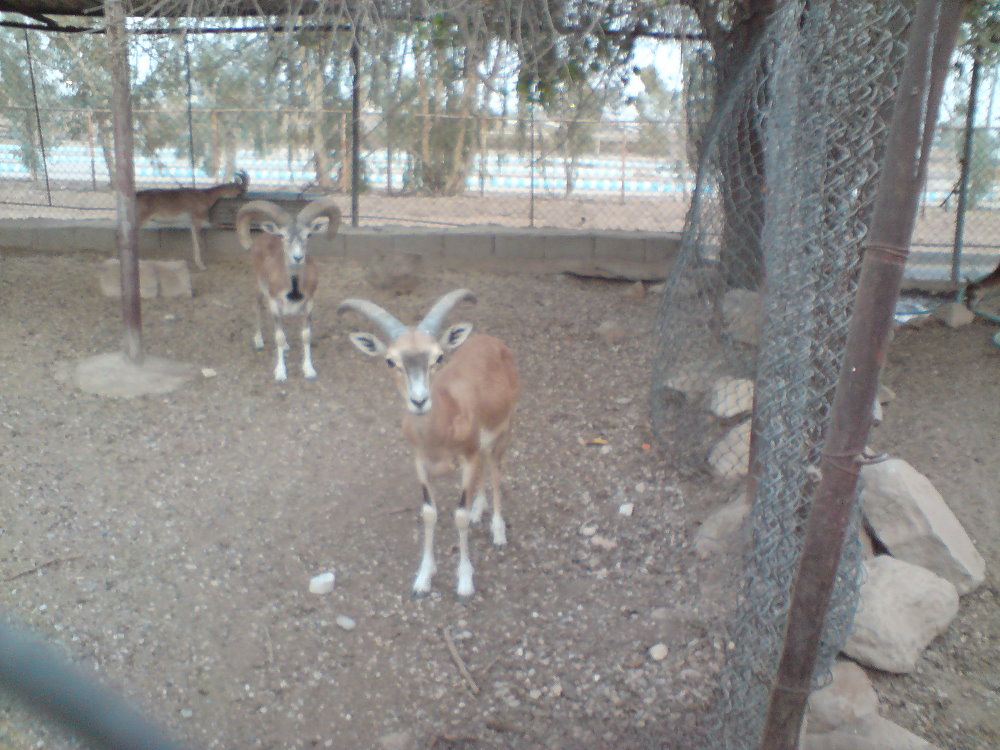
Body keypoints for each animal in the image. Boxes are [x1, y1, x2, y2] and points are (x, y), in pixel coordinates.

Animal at [235, 197, 342, 381]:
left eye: (308, 235)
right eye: (282, 235)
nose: (297, 257)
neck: (294, 289)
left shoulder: (309, 305)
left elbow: (306, 336)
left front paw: (309, 370)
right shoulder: (274, 304)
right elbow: (278, 336)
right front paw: (280, 373)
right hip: (259, 288)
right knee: (257, 307)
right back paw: (259, 341)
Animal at [338, 289, 520, 600]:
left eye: (439, 356)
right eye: (390, 360)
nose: (419, 400)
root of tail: (492, 342)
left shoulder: (468, 457)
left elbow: (458, 515)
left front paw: (464, 582)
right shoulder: (421, 463)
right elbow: (428, 513)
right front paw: (423, 578)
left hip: (504, 429)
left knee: (495, 469)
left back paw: (497, 533)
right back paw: (479, 511)